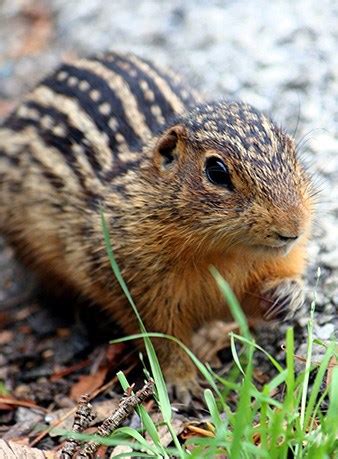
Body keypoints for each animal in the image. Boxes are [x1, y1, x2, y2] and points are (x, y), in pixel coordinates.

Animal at [0, 51, 314, 402]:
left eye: (293, 151)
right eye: (217, 172)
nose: (293, 228)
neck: (221, 253)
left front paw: (288, 294)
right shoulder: (133, 287)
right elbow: (163, 338)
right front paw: (182, 381)